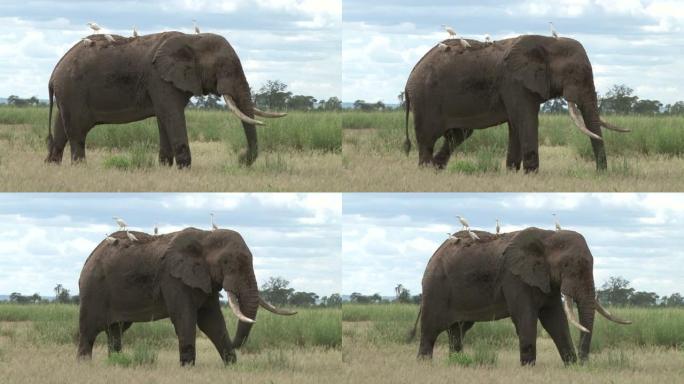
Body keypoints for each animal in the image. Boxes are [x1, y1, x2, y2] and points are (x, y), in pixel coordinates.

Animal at [44, 33, 286, 170]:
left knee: (61, 129)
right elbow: (172, 115)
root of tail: (53, 73)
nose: (241, 159)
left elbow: (164, 117)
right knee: (77, 133)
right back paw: (80, 167)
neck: (192, 39)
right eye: (225, 68)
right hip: (73, 91)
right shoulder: (159, 79)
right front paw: (184, 168)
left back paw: (51, 165)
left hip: (67, 95)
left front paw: (164, 166)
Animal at [78, 228, 296, 366]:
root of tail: (91, 256)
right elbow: (185, 318)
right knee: (89, 330)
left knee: (116, 331)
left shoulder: (205, 280)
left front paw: (232, 365)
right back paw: (84, 364)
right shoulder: (173, 278)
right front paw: (188, 367)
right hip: (93, 290)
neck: (206, 236)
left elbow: (212, 321)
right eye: (227, 263)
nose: (236, 346)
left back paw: (114, 362)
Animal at [400, 34, 632, 172]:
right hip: (426, 99)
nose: (600, 172)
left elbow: (516, 123)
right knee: (428, 137)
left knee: (459, 134)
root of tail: (410, 76)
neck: (548, 43)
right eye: (574, 74)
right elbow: (526, 119)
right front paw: (531, 173)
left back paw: (437, 168)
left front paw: (512, 170)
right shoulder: (514, 82)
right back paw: (425, 169)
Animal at [408, 228, 632, 366]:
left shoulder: (546, 280)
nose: (585, 363)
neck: (548, 236)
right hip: (435, 288)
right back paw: (424, 364)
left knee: (458, 331)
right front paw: (529, 368)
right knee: (430, 330)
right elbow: (526, 317)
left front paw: (571, 366)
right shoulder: (515, 278)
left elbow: (556, 320)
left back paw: (455, 362)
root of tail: (434, 254)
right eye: (567, 265)